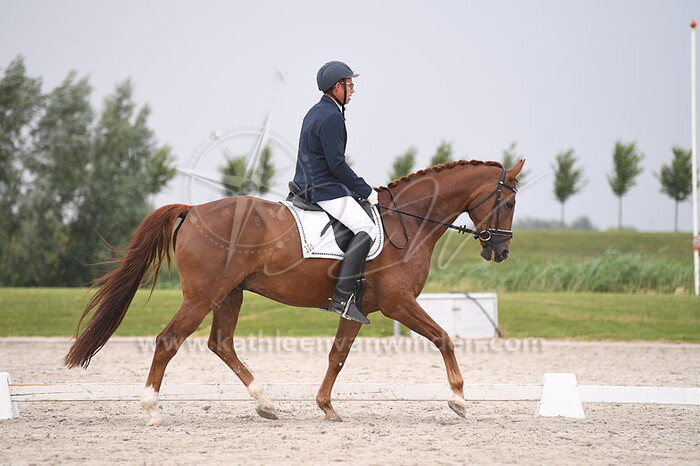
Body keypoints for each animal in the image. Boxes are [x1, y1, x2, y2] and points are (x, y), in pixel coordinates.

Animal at [65, 159, 524, 425]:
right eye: (508, 203)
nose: (500, 251)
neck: (407, 222)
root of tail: (193, 211)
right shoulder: (399, 303)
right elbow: (444, 337)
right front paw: (459, 399)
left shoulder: (358, 308)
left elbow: (337, 356)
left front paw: (326, 406)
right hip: (202, 296)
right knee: (168, 340)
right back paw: (153, 410)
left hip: (230, 294)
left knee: (221, 343)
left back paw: (266, 403)